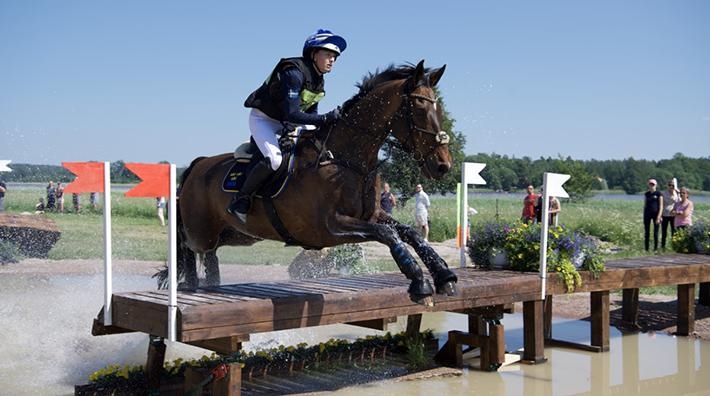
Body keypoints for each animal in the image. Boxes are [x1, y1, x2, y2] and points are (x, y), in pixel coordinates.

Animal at [175, 59, 458, 306]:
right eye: (419, 108)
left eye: (439, 109)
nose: (443, 166)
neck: (346, 158)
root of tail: (198, 165)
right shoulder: (330, 226)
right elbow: (388, 234)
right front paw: (419, 282)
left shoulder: (372, 214)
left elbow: (410, 233)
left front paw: (444, 275)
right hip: (200, 233)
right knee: (188, 249)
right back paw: (188, 285)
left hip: (236, 234)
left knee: (209, 255)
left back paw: (206, 285)